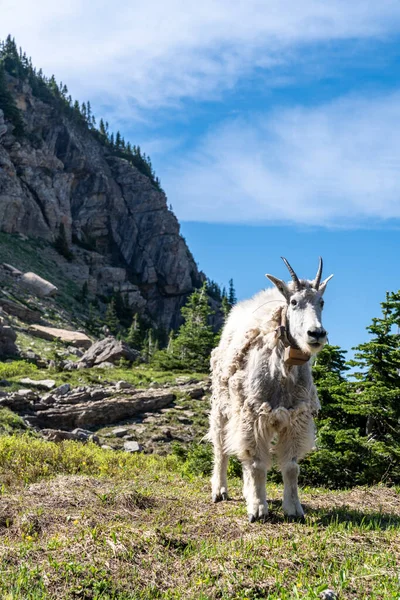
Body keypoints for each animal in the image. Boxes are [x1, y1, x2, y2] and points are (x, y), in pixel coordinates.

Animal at [208, 258, 332, 520]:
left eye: (322, 302)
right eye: (293, 302)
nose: (316, 333)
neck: (284, 370)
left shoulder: (296, 417)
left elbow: (291, 467)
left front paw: (294, 509)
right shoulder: (255, 413)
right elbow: (256, 463)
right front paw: (258, 510)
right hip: (222, 407)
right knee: (221, 447)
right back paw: (220, 490)